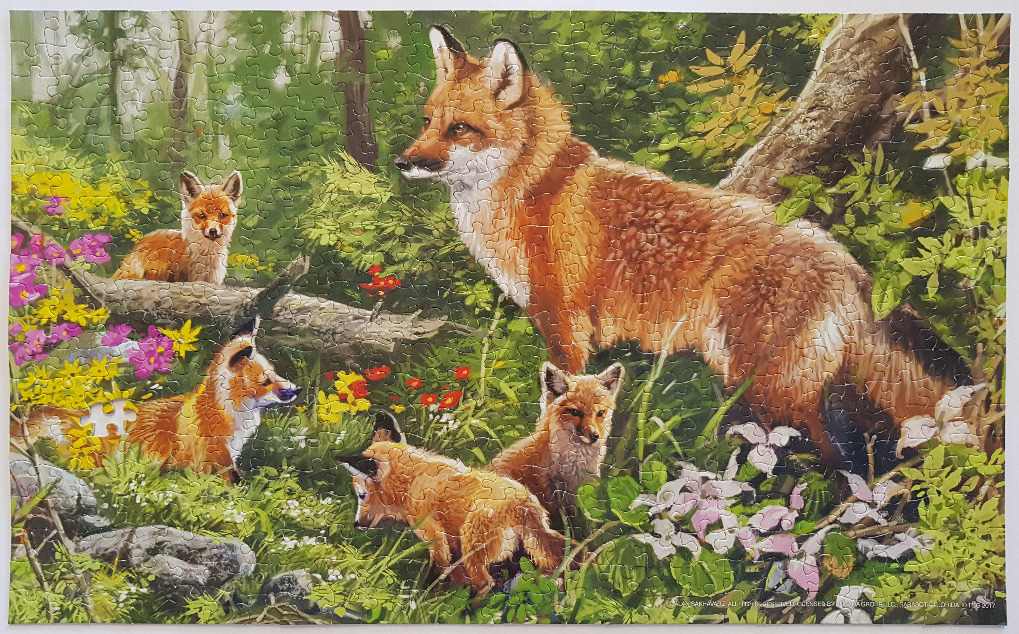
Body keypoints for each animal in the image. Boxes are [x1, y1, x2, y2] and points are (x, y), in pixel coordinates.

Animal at [338, 411, 575, 597]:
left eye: (361, 495)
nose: (356, 524)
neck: (412, 482)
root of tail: (523, 506)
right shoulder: (452, 547)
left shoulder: (436, 541)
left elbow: (433, 580)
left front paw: (420, 604)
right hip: (528, 550)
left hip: (474, 549)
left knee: (485, 584)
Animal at [396, 26, 971, 468]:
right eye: (427, 121)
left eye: (460, 129)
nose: (404, 162)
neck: (527, 190)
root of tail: (848, 264)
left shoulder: (562, 321)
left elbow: (560, 396)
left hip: (765, 389)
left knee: (828, 457)